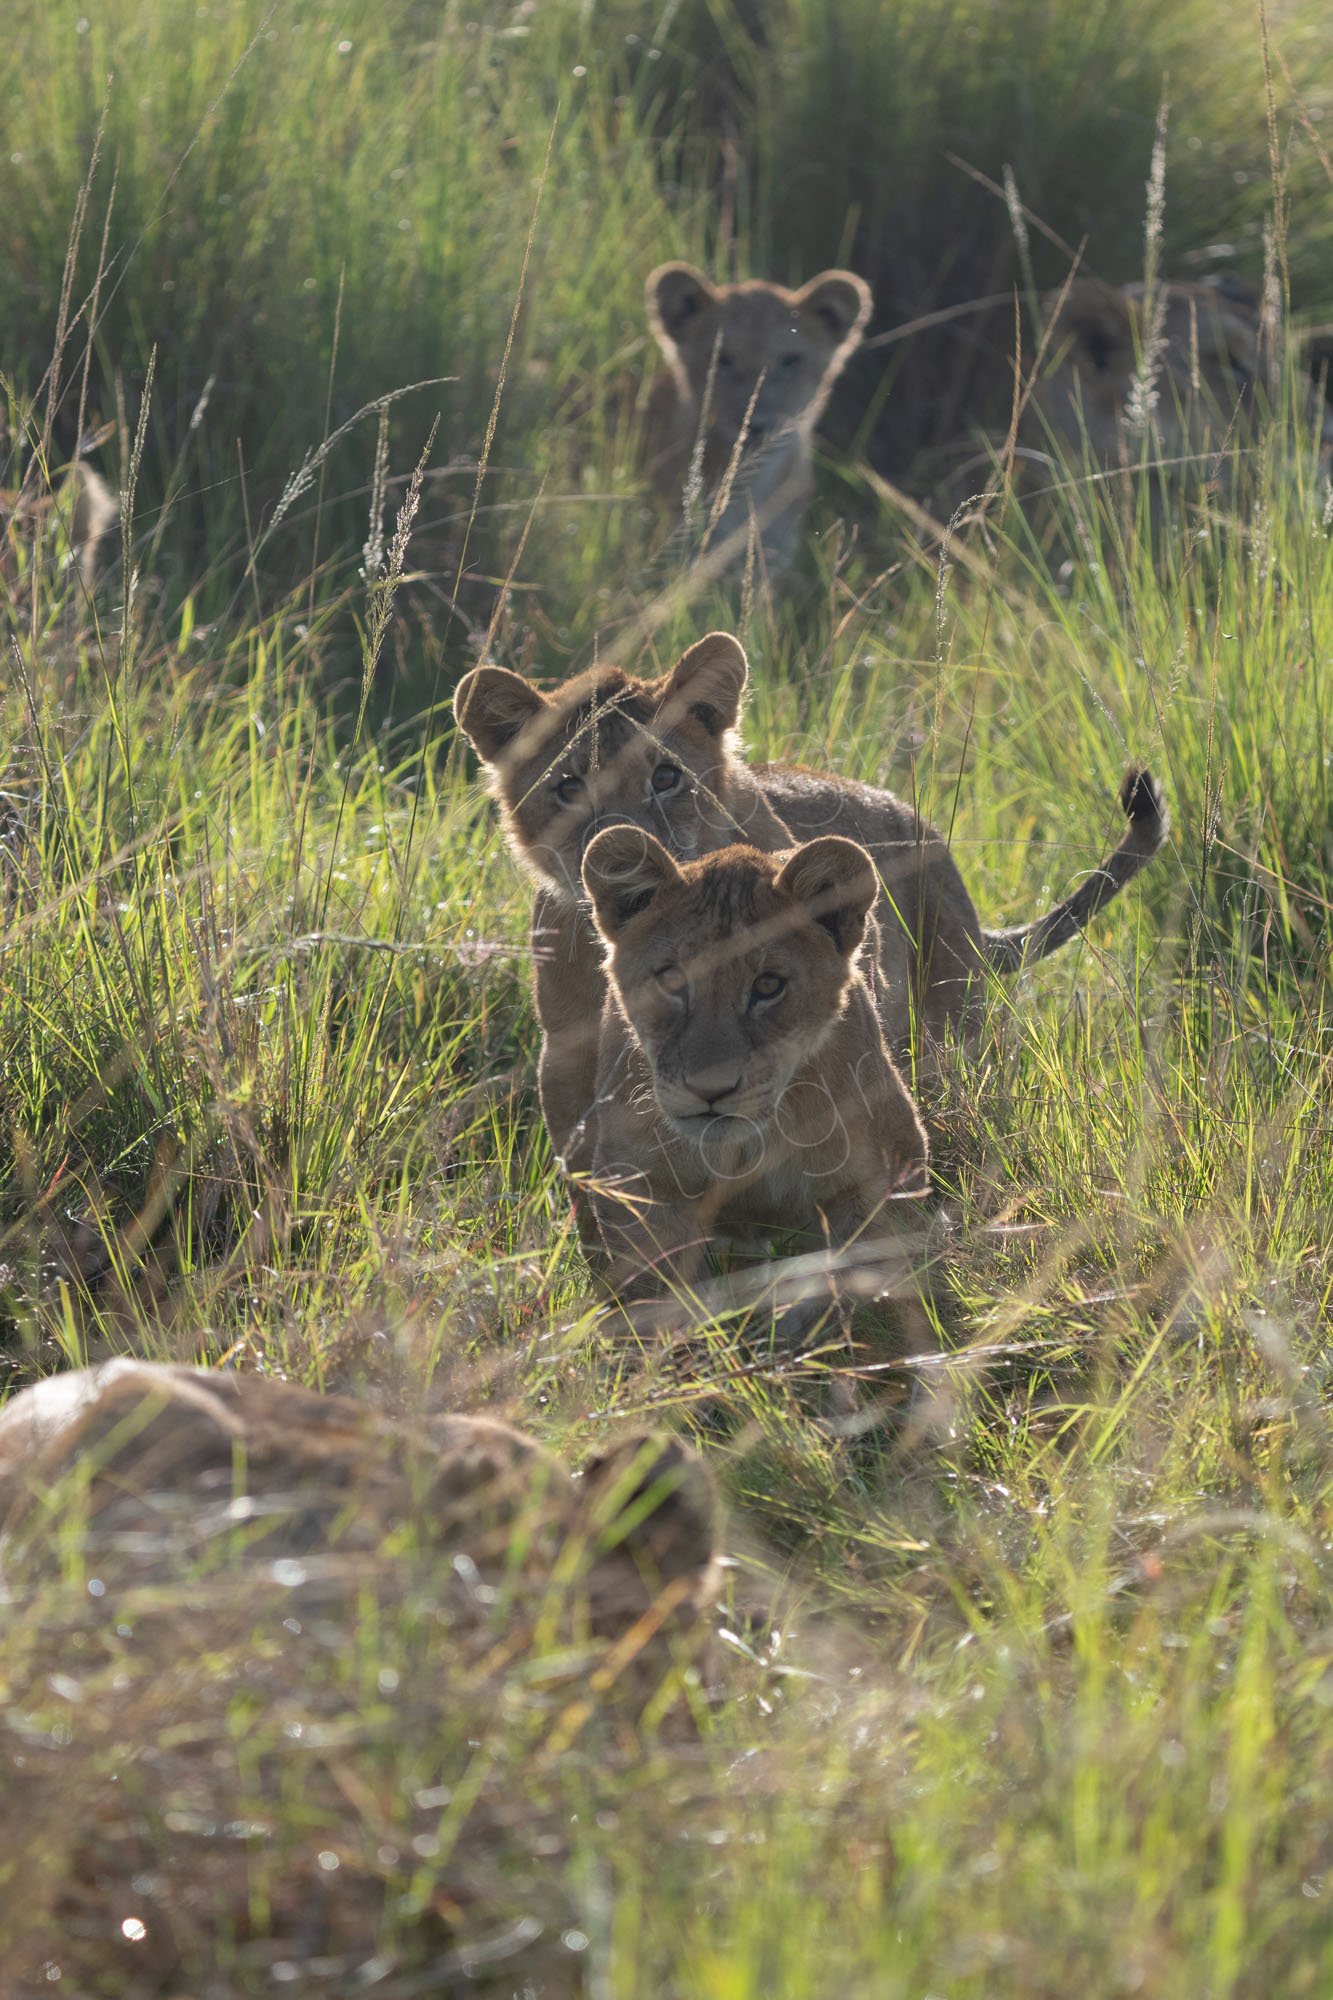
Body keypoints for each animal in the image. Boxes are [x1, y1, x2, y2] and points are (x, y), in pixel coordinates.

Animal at [572, 827, 933, 1369]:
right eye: (672, 978)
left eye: (768, 985)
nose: (711, 1090)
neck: (745, 1146)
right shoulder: (637, 1177)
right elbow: (657, 1293)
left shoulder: (889, 1167)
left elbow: (853, 1275)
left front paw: (797, 1347)